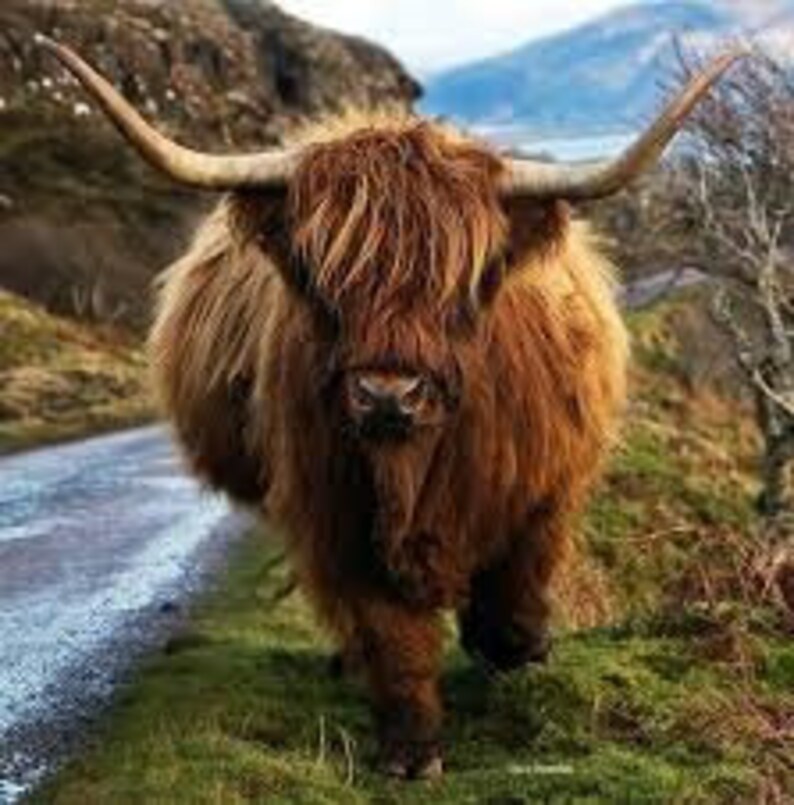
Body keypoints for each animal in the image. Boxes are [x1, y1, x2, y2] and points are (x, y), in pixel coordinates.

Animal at [39, 37, 741, 779]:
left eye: (462, 283)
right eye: (324, 280)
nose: (387, 394)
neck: (413, 468)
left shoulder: (540, 491)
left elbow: (513, 594)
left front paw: (521, 657)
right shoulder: (337, 515)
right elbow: (389, 632)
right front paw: (410, 750)